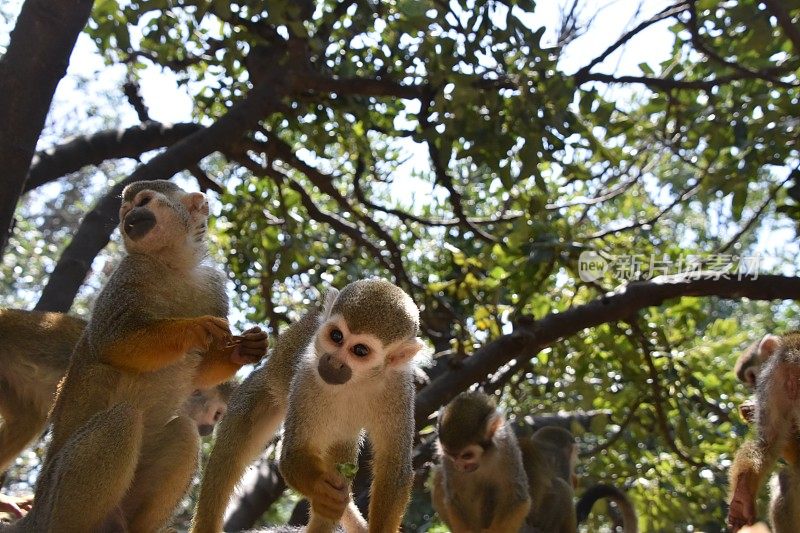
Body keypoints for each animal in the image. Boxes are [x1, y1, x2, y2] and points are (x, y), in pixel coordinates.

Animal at [10, 181, 266, 528]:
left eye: (143, 202)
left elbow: (200, 373)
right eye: (125, 211)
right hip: (53, 494)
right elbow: (111, 343)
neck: (171, 265)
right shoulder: (127, 273)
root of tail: (36, 510)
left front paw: (242, 351)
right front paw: (192, 328)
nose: (129, 218)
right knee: (123, 419)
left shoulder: (213, 285)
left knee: (184, 432)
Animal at [191, 278, 424, 532]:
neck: (358, 380)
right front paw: (324, 493)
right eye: (336, 336)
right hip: (263, 390)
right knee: (230, 455)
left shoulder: (399, 390)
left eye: (360, 350)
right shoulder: (307, 374)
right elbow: (293, 455)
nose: (333, 361)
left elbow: (394, 469)